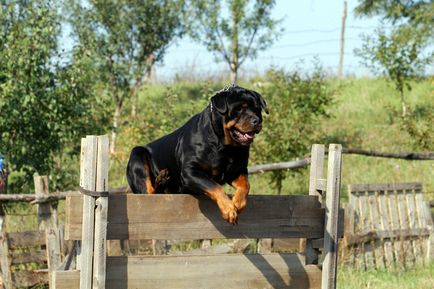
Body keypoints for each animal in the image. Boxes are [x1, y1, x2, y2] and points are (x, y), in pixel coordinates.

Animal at [126, 84, 268, 224]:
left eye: (257, 109)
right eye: (238, 109)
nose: (256, 120)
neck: (225, 146)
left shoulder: (237, 170)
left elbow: (246, 185)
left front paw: (238, 203)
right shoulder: (190, 172)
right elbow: (215, 186)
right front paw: (229, 209)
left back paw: (162, 179)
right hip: (137, 155)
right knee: (149, 193)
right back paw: (161, 179)